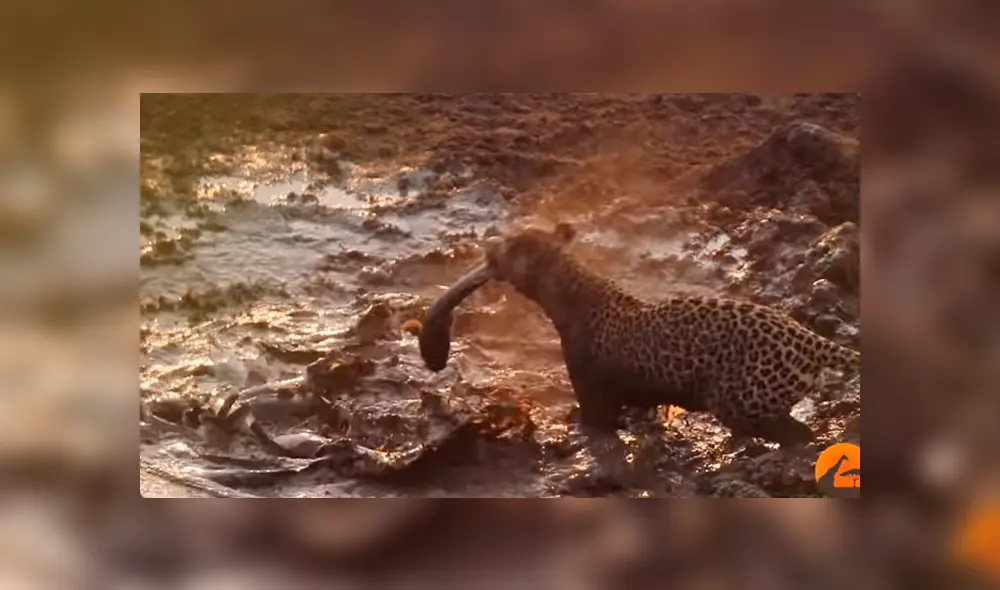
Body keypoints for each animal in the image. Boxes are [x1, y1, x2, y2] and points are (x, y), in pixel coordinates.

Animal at [419, 222, 860, 446]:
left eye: (508, 247)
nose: (488, 244)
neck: (571, 297)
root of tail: (808, 338)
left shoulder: (595, 397)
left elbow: (593, 424)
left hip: (743, 402)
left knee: (793, 435)